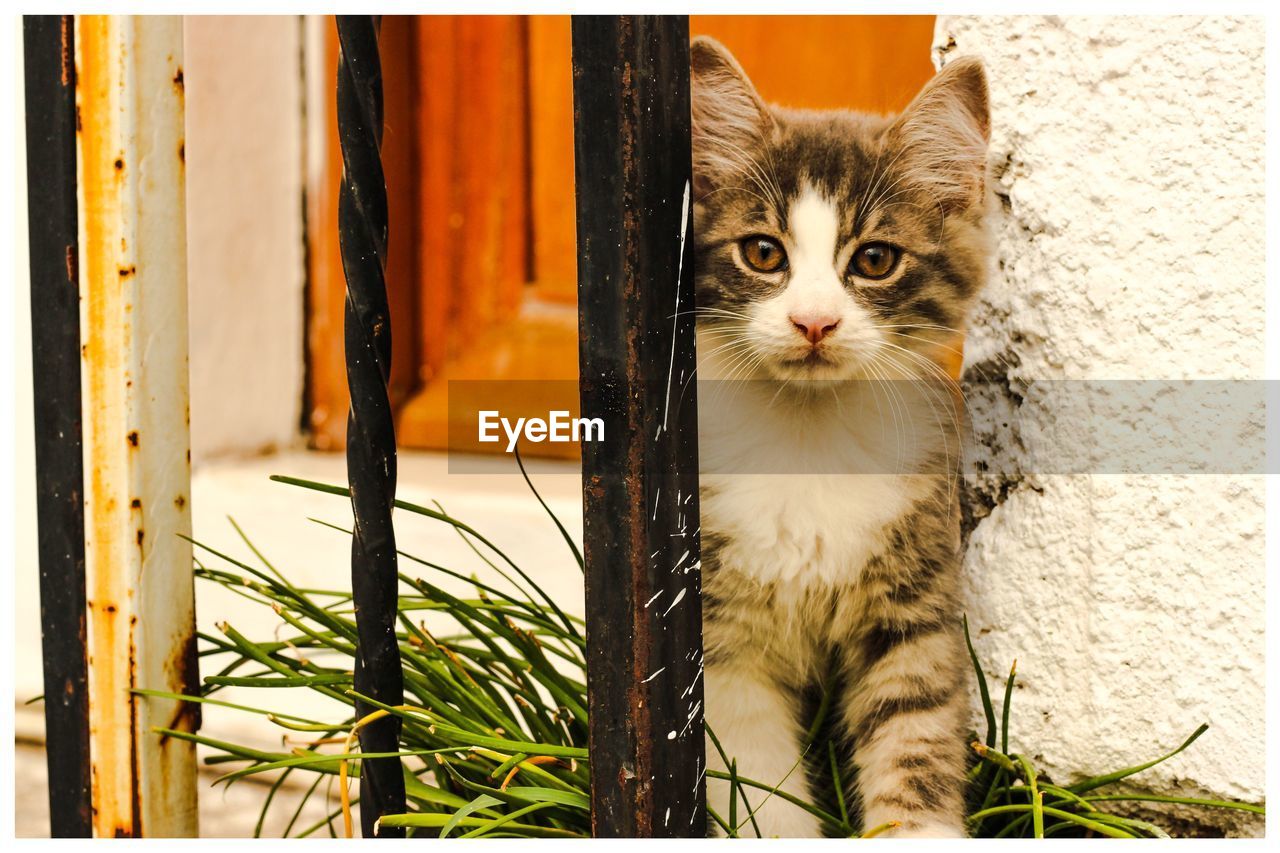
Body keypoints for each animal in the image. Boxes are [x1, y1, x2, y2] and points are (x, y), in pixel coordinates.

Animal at [691, 36, 988, 835]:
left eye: (875, 259)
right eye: (763, 253)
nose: (815, 322)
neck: (807, 435)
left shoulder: (913, 611)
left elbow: (915, 738)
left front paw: (919, 831)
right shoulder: (721, 638)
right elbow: (752, 778)